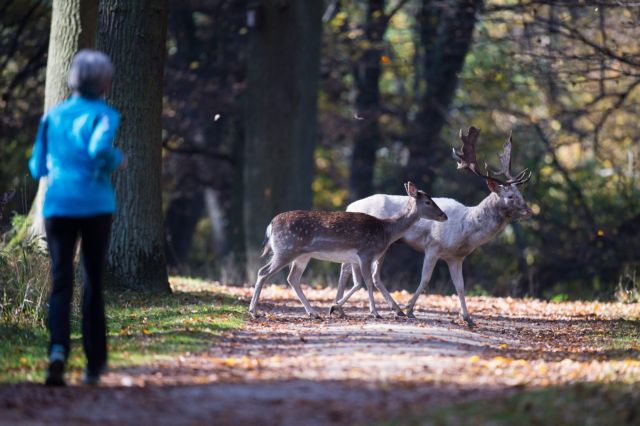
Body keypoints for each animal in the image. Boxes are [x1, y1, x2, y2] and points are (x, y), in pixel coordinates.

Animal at [248, 182, 448, 320]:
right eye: (428, 201)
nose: (444, 215)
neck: (387, 230)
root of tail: (270, 225)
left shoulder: (355, 258)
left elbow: (358, 283)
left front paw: (334, 307)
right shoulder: (366, 253)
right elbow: (368, 282)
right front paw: (374, 313)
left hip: (302, 255)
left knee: (292, 278)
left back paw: (313, 313)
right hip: (286, 249)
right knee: (263, 272)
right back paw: (253, 311)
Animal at [332, 126, 532, 326]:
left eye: (521, 194)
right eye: (510, 196)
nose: (529, 210)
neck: (466, 230)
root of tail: (350, 206)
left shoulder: (456, 258)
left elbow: (460, 286)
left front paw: (468, 318)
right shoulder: (432, 246)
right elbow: (425, 279)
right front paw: (410, 309)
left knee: (354, 269)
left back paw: (347, 308)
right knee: (364, 272)